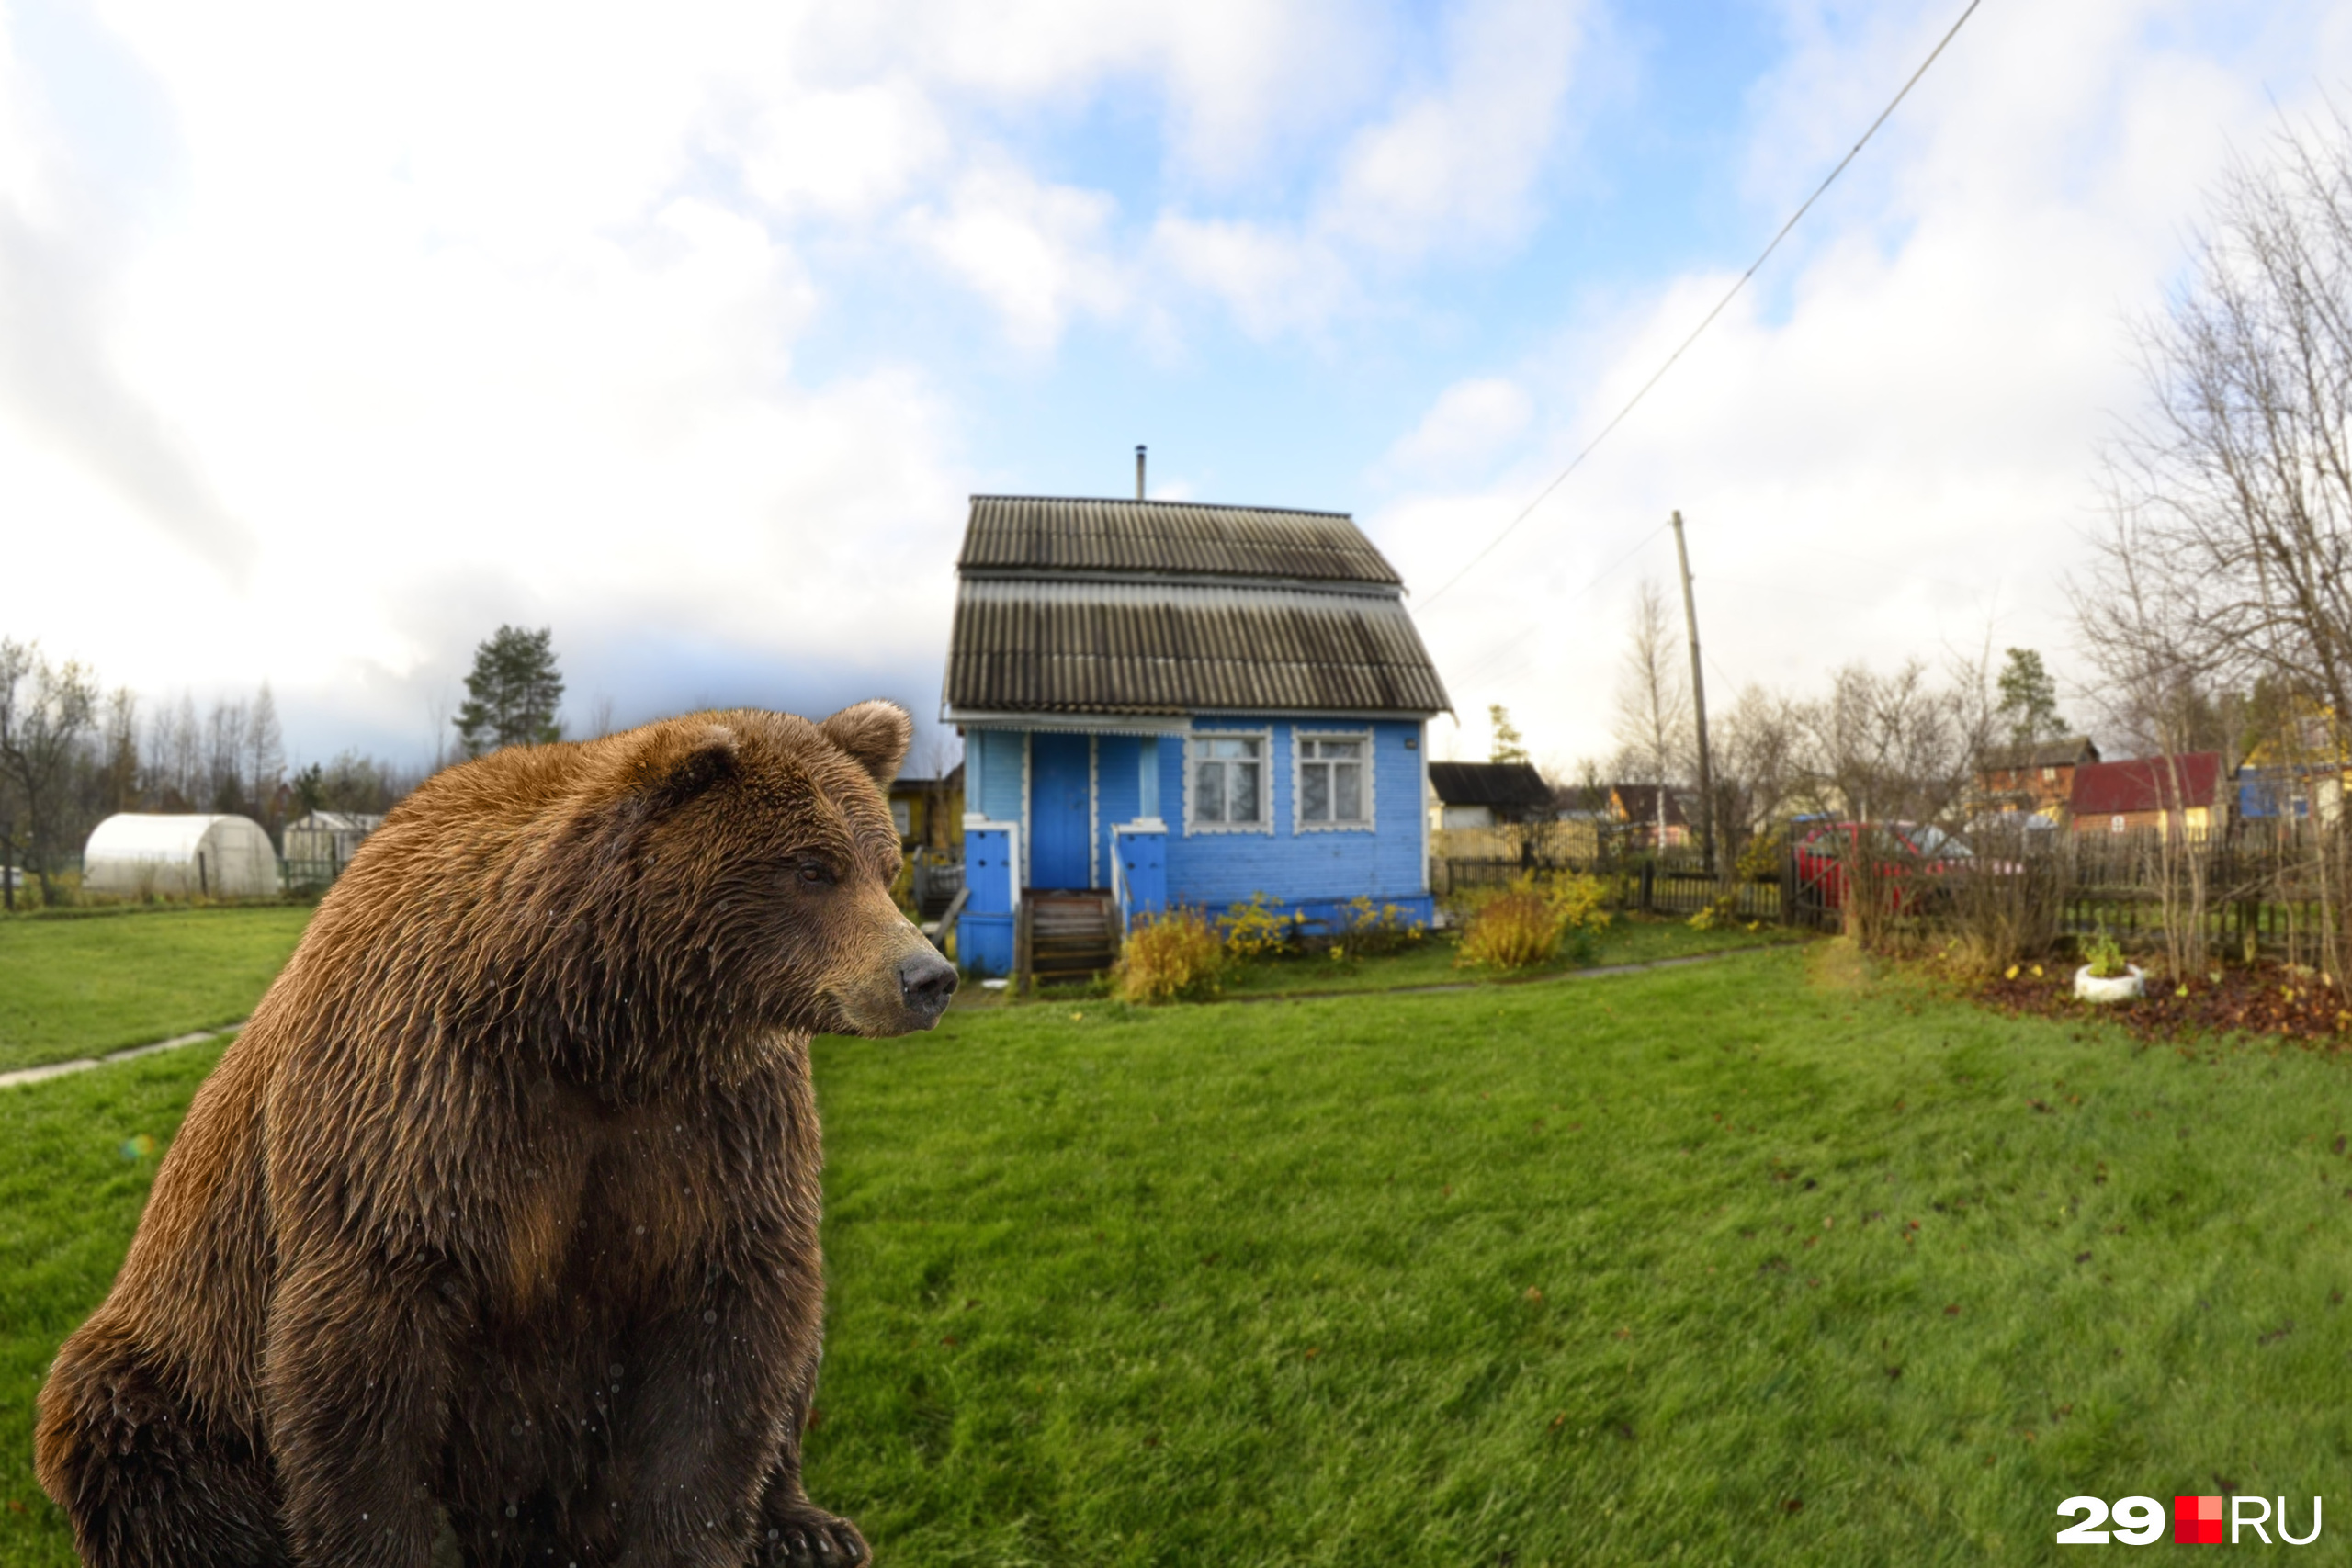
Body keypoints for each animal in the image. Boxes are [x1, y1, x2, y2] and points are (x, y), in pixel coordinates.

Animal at [37, 705, 955, 1568]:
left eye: (884, 866)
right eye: (812, 867)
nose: (928, 976)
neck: (600, 1029)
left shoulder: (716, 1124)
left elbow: (731, 1333)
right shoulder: (422, 1113)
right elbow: (364, 1377)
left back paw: (806, 1525)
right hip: (179, 1368)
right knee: (137, 1442)